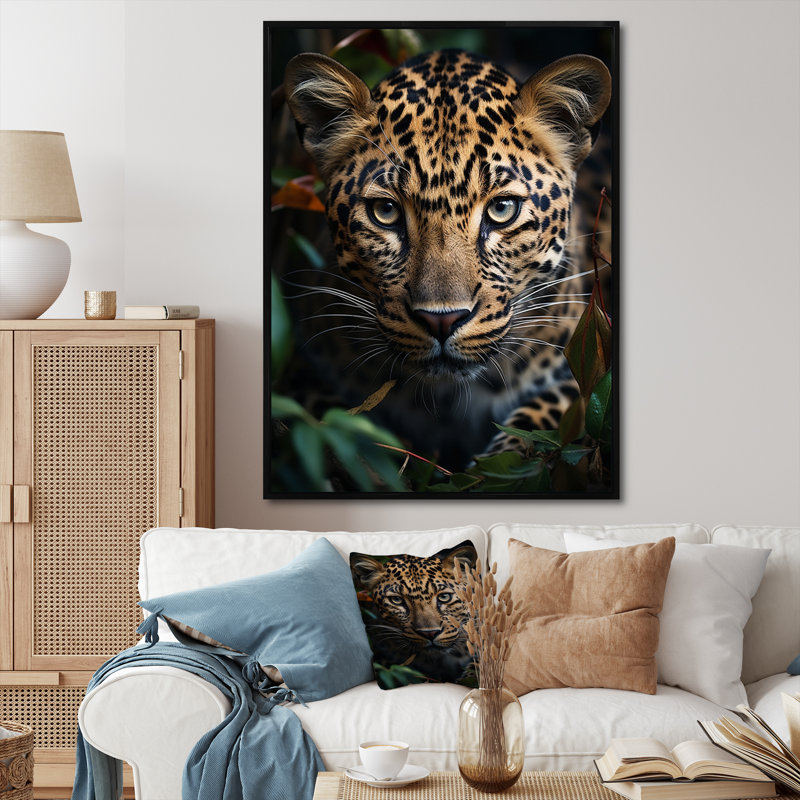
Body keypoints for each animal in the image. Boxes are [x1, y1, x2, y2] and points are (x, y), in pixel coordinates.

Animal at [278, 48, 612, 474]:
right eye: (385, 212)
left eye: (502, 209)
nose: (442, 320)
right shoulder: (302, 371)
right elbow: (326, 423)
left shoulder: (588, 367)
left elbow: (545, 421)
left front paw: (497, 464)